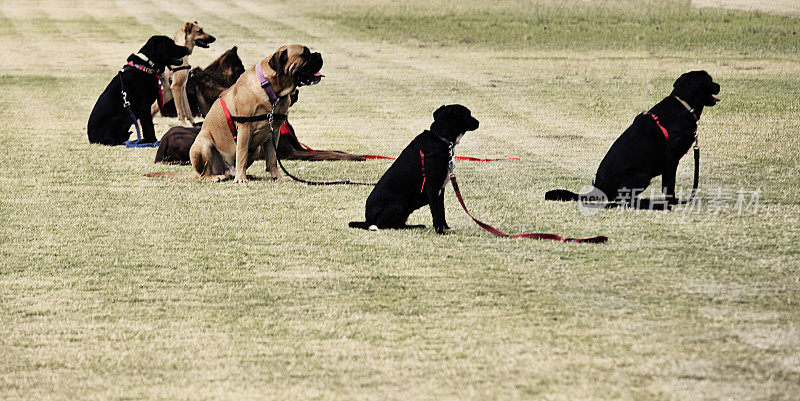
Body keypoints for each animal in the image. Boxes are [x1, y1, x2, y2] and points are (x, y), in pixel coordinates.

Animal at [189, 44, 324, 182]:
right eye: (305, 54)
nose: (318, 54)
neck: (271, 90)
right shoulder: (244, 129)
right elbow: (241, 155)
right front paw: (241, 179)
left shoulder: (274, 132)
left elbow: (272, 158)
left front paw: (278, 177)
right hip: (203, 145)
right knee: (204, 174)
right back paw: (216, 177)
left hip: (256, 149)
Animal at [348, 104, 476, 234]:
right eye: (468, 114)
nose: (478, 122)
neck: (440, 138)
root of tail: (368, 220)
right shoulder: (432, 188)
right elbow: (436, 213)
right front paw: (440, 231)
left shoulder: (441, 189)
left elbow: (442, 212)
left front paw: (446, 227)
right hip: (401, 204)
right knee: (391, 225)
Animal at [548, 70, 720, 209]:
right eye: (710, 80)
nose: (719, 85)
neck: (683, 104)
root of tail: (598, 188)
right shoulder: (671, 160)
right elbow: (669, 186)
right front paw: (673, 202)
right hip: (642, 176)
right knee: (621, 200)